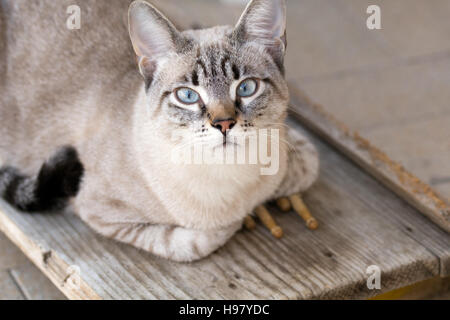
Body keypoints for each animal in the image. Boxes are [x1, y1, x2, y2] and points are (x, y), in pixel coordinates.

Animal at [0, 0, 318, 262]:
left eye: (246, 88)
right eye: (187, 96)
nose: (224, 124)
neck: (232, 180)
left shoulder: (292, 146)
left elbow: (307, 164)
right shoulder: (99, 211)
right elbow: (194, 241)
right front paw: (243, 219)